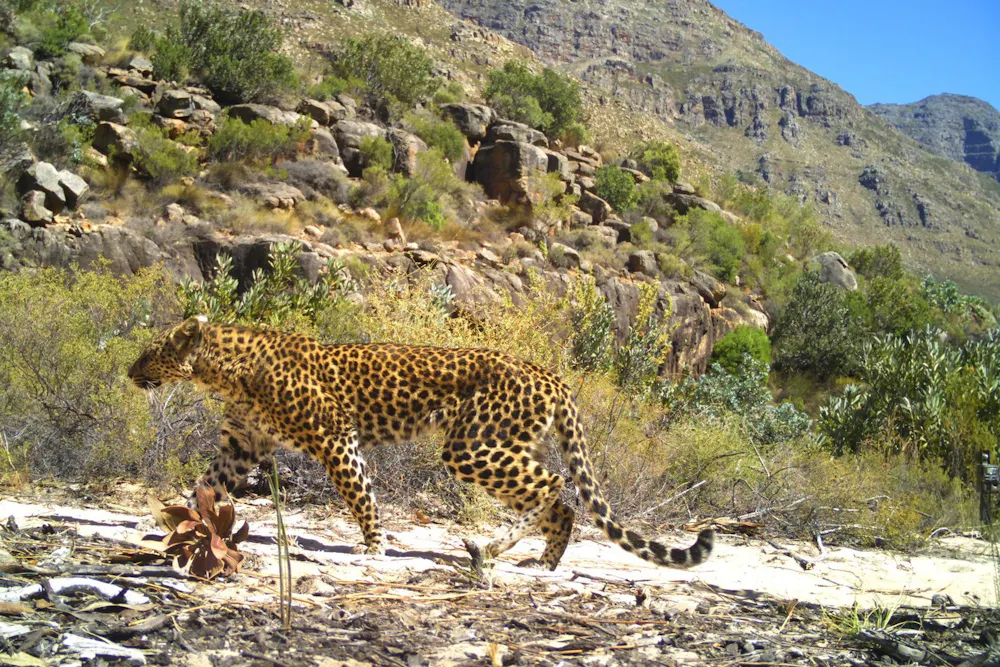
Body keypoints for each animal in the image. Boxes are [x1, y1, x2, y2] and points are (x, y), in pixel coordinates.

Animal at [128, 316, 714, 570]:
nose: (130, 372)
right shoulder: (241, 447)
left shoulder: (335, 437)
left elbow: (360, 495)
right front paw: (173, 525)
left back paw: (493, 549)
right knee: (561, 504)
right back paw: (542, 562)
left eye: (151, 352)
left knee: (555, 485)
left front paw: (373, 545)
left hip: (472, 447)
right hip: (501, 447)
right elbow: (205, 487)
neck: (228, 370)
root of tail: (551, 374)